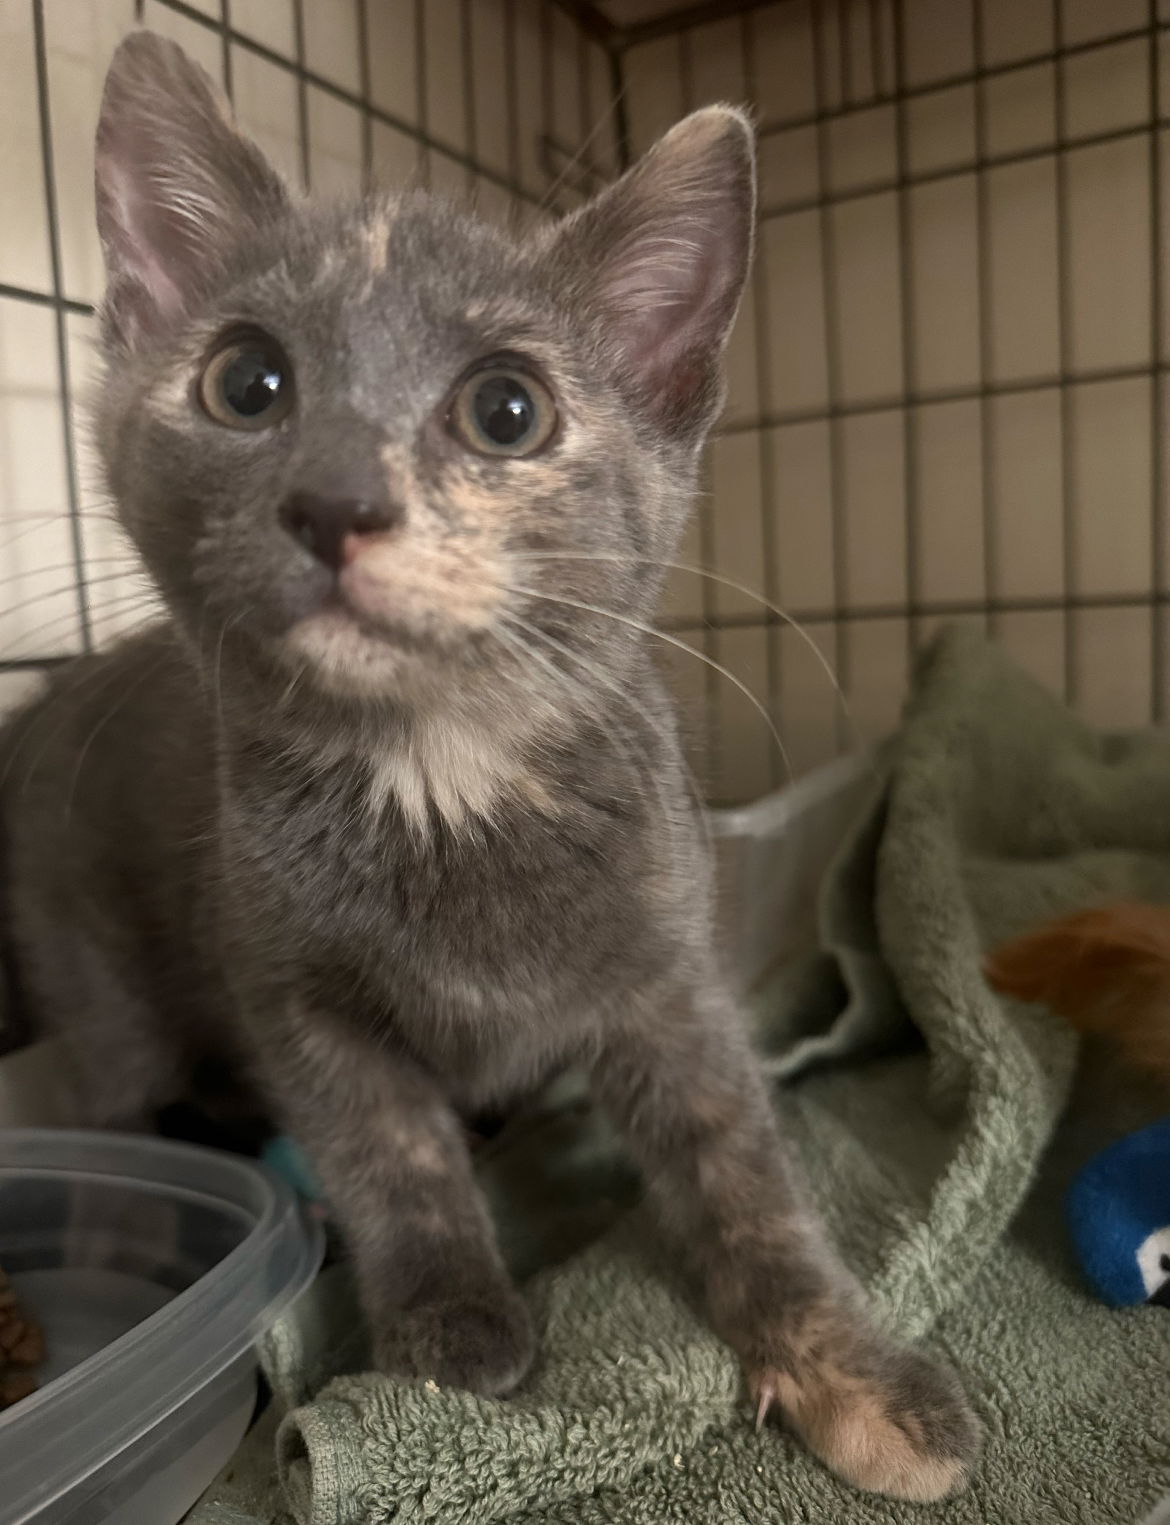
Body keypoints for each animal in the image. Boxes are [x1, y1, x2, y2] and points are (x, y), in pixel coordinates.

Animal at [0, 32, 976, 1500]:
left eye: (505, 409)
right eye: (245, 381)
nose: (335, 500)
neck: (439, 768)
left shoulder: (669, 979)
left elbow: (744, 1169)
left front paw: (854, 1370)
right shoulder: (292, 990)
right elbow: (388, 1150)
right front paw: (450, 1311)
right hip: (97, 965)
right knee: (114, 1105)